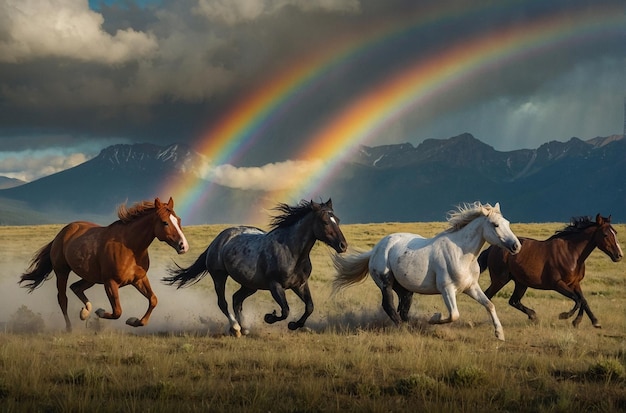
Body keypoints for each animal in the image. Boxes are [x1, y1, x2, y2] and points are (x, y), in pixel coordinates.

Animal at [19, 197, 188, 332]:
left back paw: (85, 312)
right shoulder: (110, 283)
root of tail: (61, 234)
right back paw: (70, 327)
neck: (130, 247)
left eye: (179, 220)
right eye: (165, 222)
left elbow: (153, 300)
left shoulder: (139, 279)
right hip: (62, 272)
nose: (183, 246)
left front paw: (134, 321)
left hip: (90, 277)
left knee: (76, 287)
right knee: (63, 299)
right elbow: (117, 311)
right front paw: (101, 312)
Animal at [161, 198, 346, 336]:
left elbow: (309, 307)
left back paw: (244, 328)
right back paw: (236, 328)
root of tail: (218, 239)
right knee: (223, 302)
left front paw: (293, 325)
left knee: (237, 299)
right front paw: (269, 317)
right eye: (324, 221)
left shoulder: (299, 285)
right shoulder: (275, 286)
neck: (291, 251)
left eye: (337, 220)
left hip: (250, 285)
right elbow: (285, 310)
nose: (343, 245)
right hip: (219, 276)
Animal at [332, 201, 520, 340]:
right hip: (385, 282)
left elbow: (489, 304)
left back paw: (411, 326)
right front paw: (433, 318)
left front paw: (500, 334)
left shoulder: (471, 287)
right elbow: (454, 315)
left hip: (405, 289)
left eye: (507, 223)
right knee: (389, 306)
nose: (516, 246)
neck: (461, 254)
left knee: (403, 308)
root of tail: (375, 250)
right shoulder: (447, 289)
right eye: (495, 225)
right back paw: (403, 328)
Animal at [478, 214, 620, 326]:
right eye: (606, 234)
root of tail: (492, 248)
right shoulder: (558, 284)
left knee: (513, 301)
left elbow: (583, 300)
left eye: (615, 233)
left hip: (521, 283)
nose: (619, 255)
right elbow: (577, 299)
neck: (571, 253)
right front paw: (565, 316)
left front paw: (592, 321)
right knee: (488, 296)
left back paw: (533, 316)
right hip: (500, 280)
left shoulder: (575, 283)